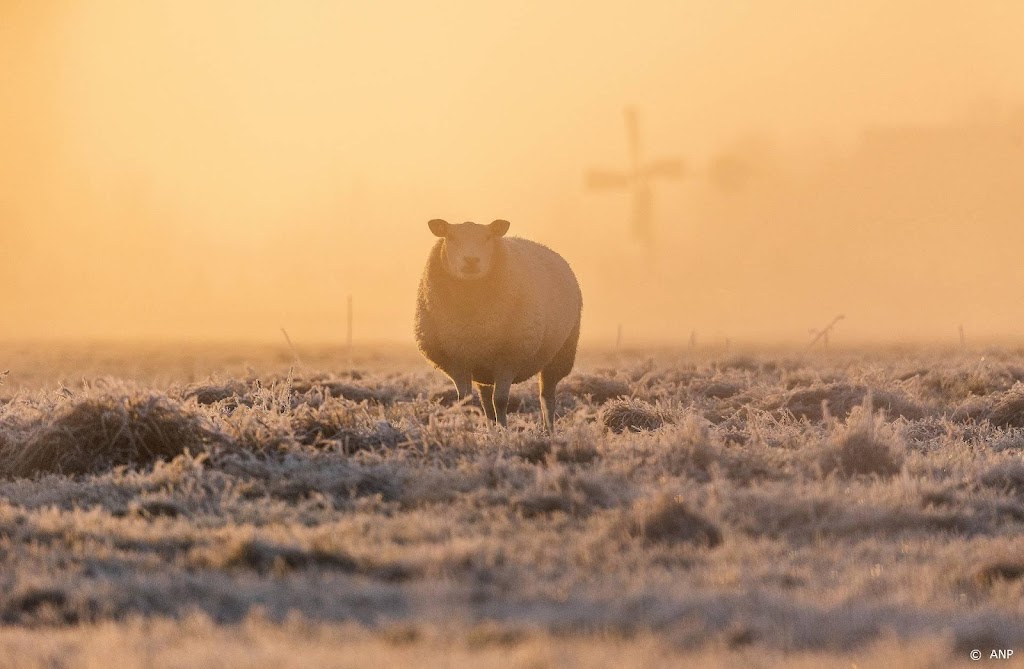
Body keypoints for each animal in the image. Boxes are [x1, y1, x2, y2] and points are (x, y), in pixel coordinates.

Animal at [411, 216, 581, 430]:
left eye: (488, 237)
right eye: (450, 237)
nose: (471, 260)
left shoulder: (508, 358)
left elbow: (500, 400)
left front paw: (504, 429)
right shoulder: (458, 361)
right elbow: (464, 400)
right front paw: (468, 429)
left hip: (560, 354)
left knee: (546, 397)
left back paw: (547, 429)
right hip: (483, 364)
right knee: (485, 398)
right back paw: (490, 427)